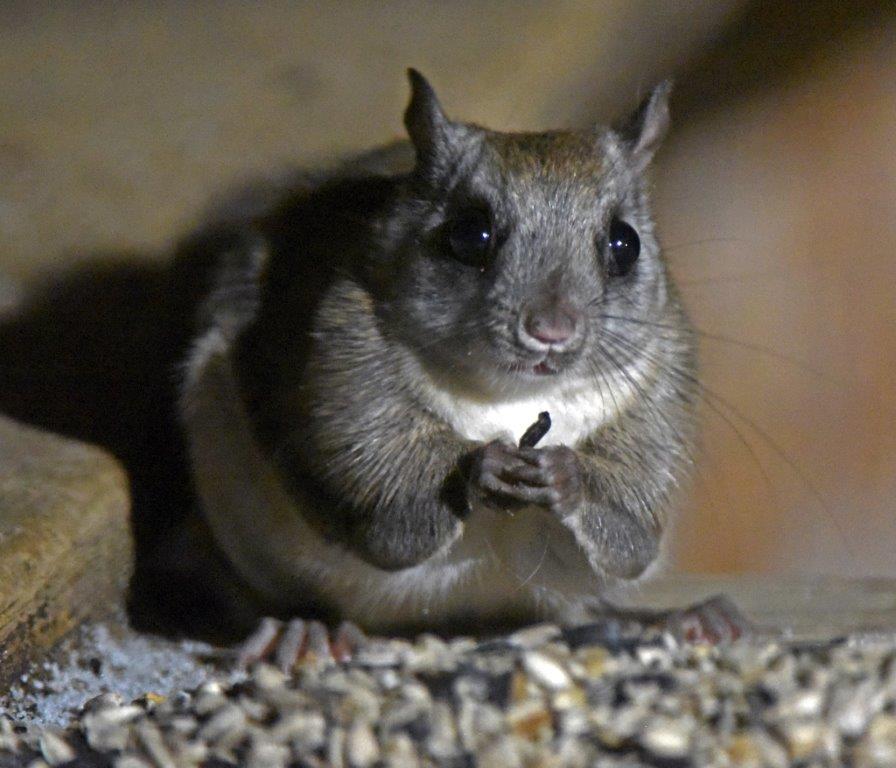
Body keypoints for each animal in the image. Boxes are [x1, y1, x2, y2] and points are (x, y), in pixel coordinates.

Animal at [178, 70, 748, 655]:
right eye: (469, 234)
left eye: (624, 243)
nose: (551, 330)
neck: (514, 395)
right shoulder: (345, 368)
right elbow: (387, 480)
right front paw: (484, 465)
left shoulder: (663, 388)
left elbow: (629, 521)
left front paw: (566, 475)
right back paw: (304, 633)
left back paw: (687, 618)